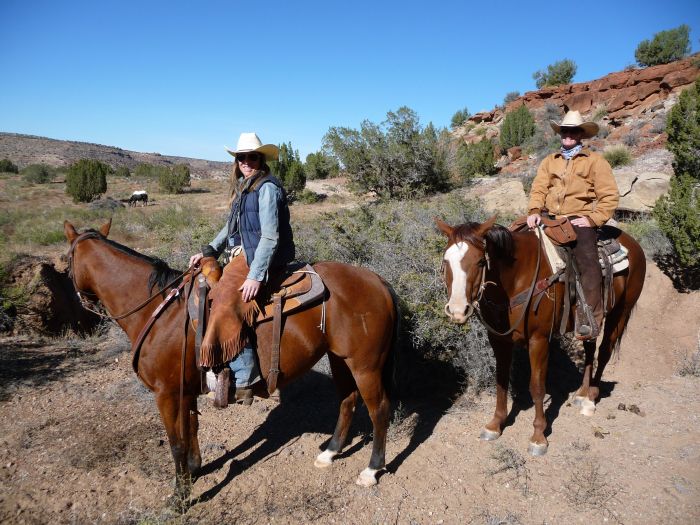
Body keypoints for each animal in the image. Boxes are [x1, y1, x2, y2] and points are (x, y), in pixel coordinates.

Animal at [65, 219, 400, 502]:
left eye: (65, 265)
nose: (83, 317)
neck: (160, 313)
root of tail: (379, 281)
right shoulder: (185, 391)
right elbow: (192, 429)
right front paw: (195, 470)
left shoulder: (167, 394)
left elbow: (176, 442)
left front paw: (180, 496)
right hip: (340, 359)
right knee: (347, 400)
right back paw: (330, 453)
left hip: (365, 366)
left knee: (379, 409)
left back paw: (371, 470)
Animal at [438, 216, 644, 454]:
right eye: (446, 261)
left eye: (481, 262)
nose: (457, 311)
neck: (516, 278)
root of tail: (633, 243)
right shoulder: (499, 339)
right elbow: (501, 379)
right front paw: (495, 424)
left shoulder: (539, 340)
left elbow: (536, 387)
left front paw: (538, 437)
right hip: (586, 323)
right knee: (590, 348)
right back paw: (582, 394)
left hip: (620, 312)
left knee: (604, 352)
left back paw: (590, 400)